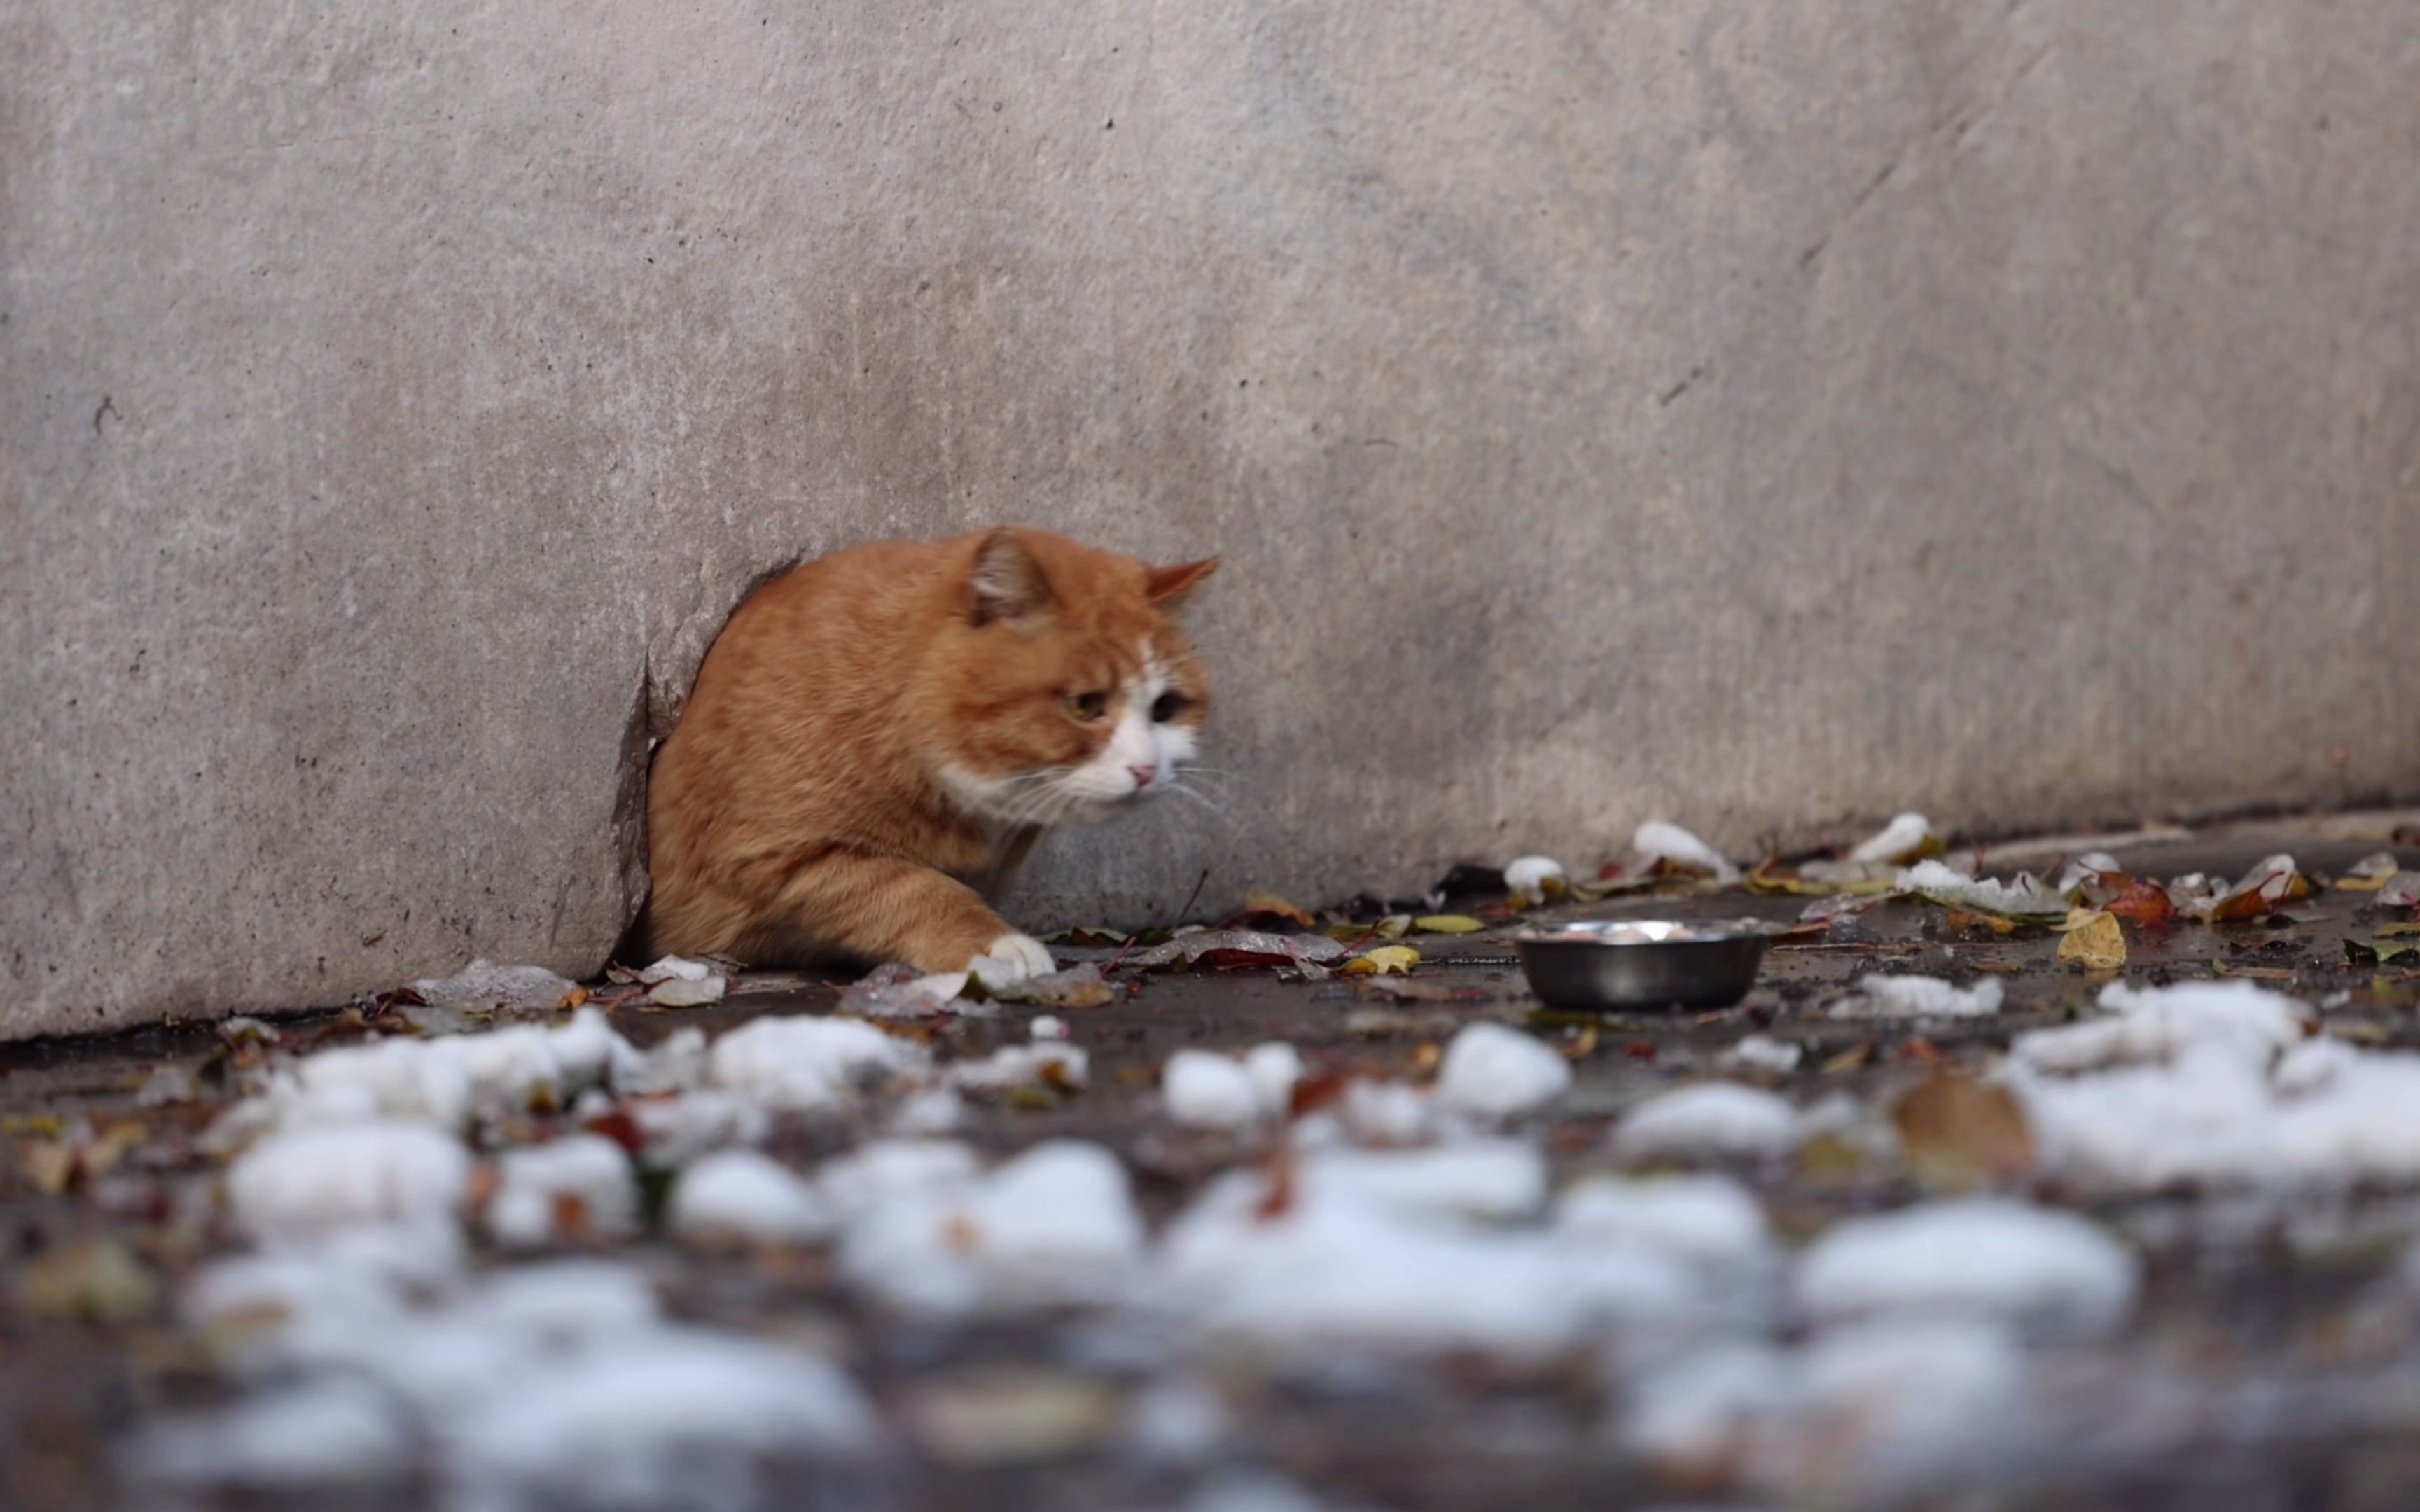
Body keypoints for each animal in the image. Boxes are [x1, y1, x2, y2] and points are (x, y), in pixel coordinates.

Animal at [639, 529, 1210, 977]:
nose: (1146, 769)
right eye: (1084, 705)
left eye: (1165, 708)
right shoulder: (773, 854)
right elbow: (912, 889)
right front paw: (995, 945)